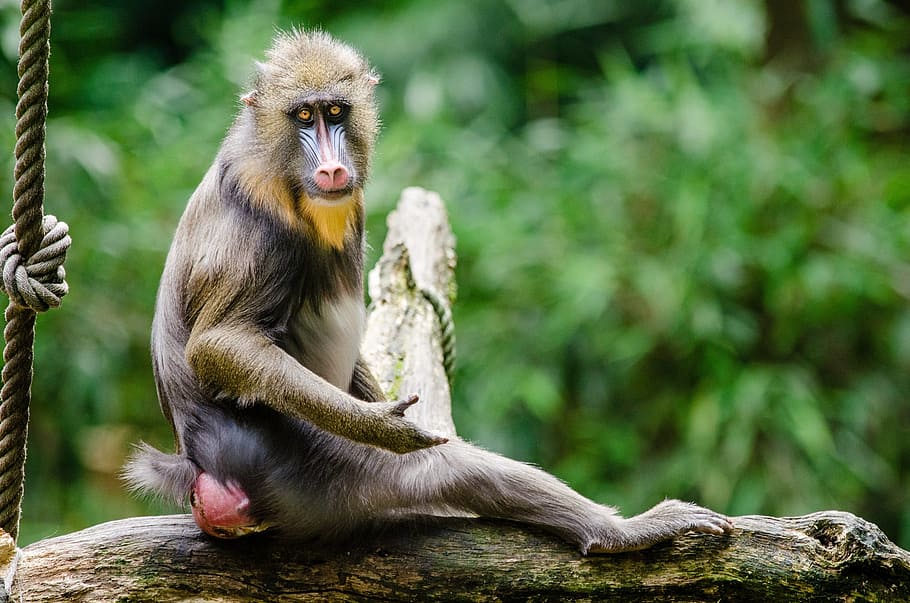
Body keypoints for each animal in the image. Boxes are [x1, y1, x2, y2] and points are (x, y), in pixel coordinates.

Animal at [124, 29, 733, 553]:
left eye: (335, 112)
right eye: (302, 115)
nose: (332, 167)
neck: (288, 175)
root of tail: (201, 470)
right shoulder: (256, 220)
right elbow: (221, 344)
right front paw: (380, 426)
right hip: (306, 474)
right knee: (448, 470)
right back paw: (619, 534)